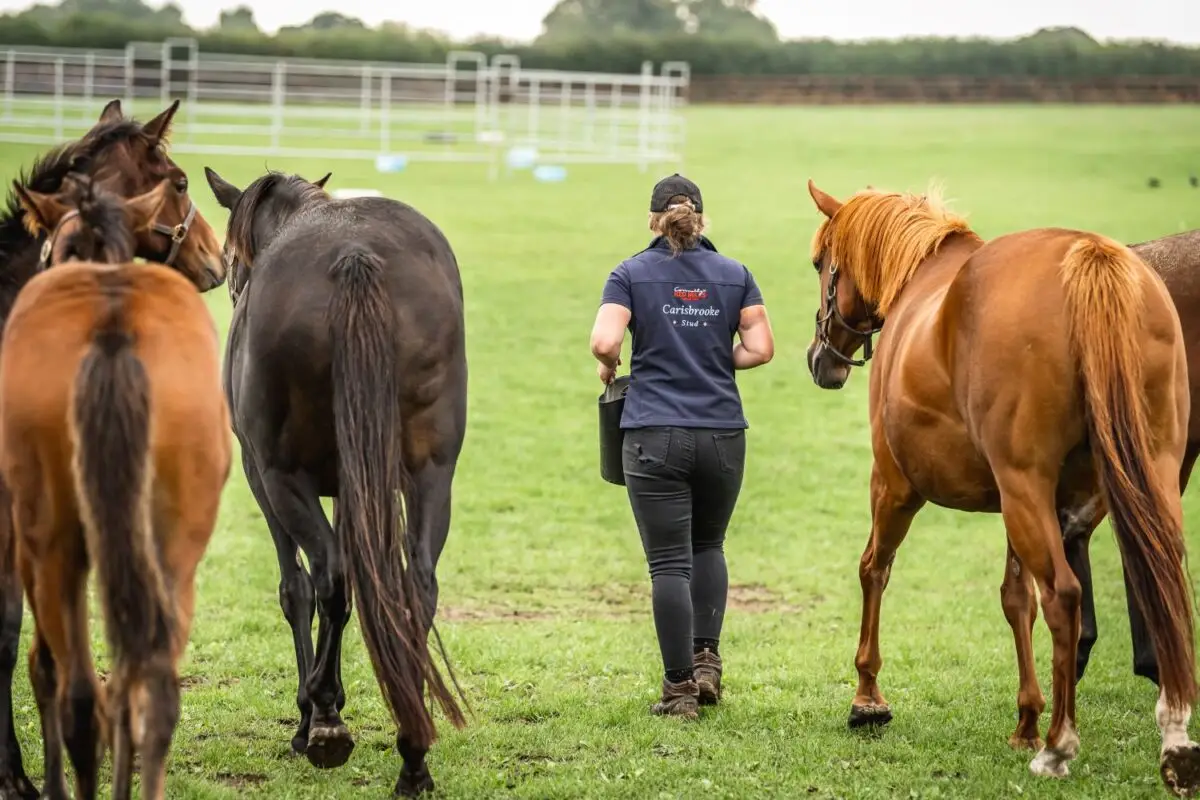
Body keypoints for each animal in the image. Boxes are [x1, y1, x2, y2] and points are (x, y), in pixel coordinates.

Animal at [203, 167, 468, 796]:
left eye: (232, 255)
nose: (231, 285)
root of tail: (354, 252)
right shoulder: (355, 487)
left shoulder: (261, 477)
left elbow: (297, 588)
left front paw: (311, 715)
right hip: (429, 474)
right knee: (415, 582)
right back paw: (413, 751)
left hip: (281, 477)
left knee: (328, 574)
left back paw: (324, 720)